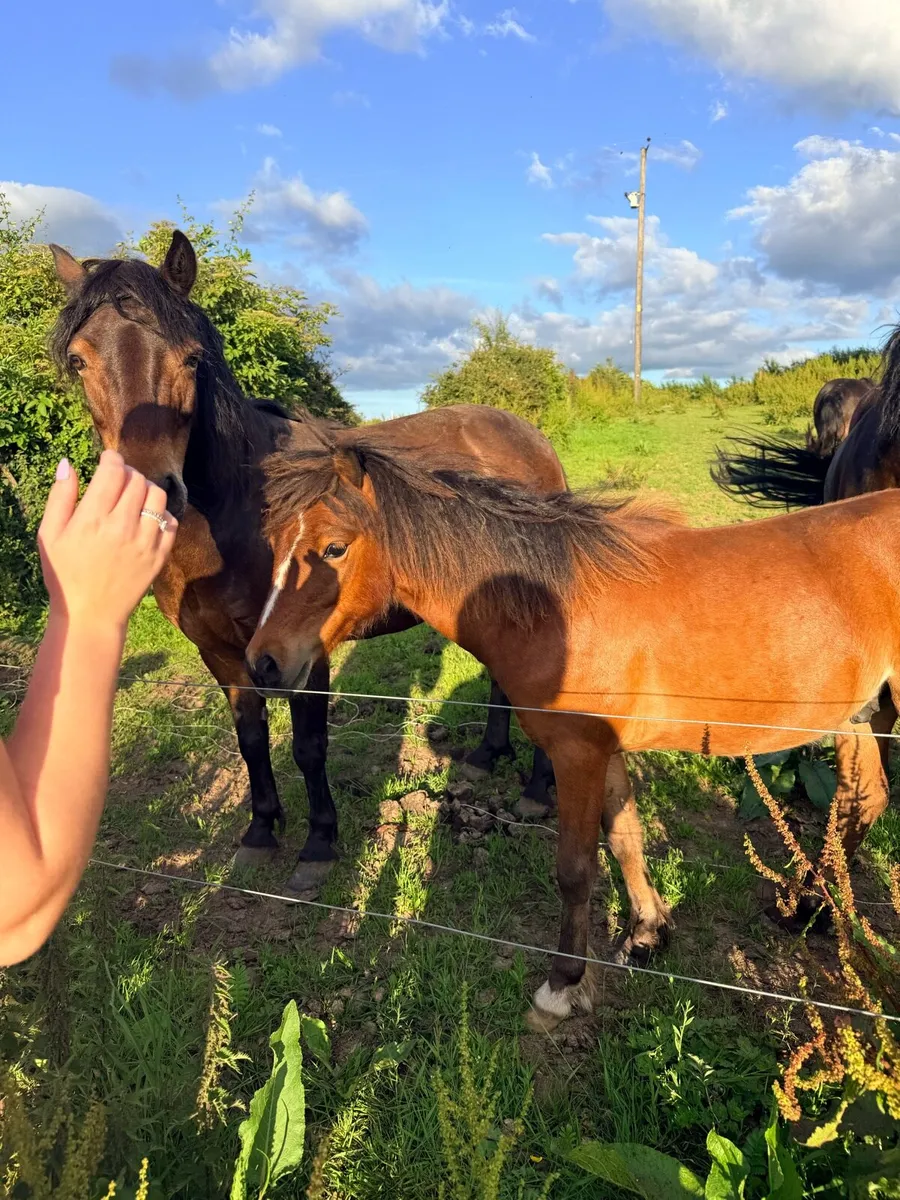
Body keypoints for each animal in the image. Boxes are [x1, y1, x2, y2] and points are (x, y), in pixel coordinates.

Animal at [47, 230, 565, 892]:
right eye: (80, 361)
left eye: (191, 359)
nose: (151, 493)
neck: (242, 510)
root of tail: (528, 435)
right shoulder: (219, 652)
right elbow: (250, 739)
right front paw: (261, 831)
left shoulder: (304, 645)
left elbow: (309, 744)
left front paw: (318, 843)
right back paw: (485, 756)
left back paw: (536, 791)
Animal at [244, 436, 898, 1029]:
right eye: (272, 547)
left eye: (333, 548)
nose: (263, 663)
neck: (551, 603)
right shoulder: (604, 753)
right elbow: (626, 837)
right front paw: (647, 933)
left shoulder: (577, 754)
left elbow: (576, 870)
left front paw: (563, 984)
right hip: (864, 717)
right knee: (862, 799)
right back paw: (809, 909)